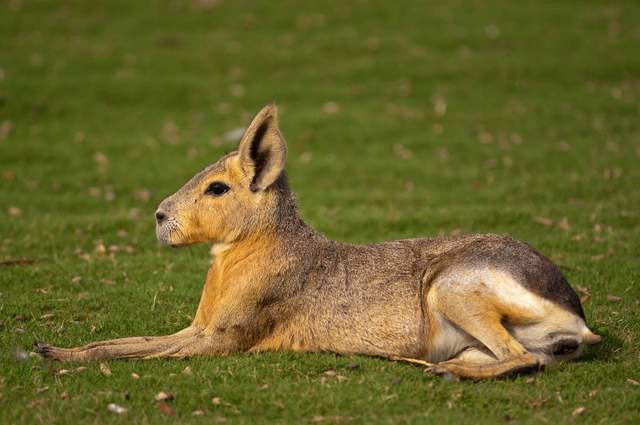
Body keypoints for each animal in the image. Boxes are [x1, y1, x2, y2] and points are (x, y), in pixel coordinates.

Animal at [37, 104, 601, 380]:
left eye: (217, 187)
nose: (159, 217)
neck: (242, 257)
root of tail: (576, 313)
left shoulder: (225, 337)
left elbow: (134, 353)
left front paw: (58, 356)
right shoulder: (197, 327)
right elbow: (121, 342)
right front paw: (50, 347)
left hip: (452, 288)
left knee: (524, 359)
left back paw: (441, 373)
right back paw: (435, 366)